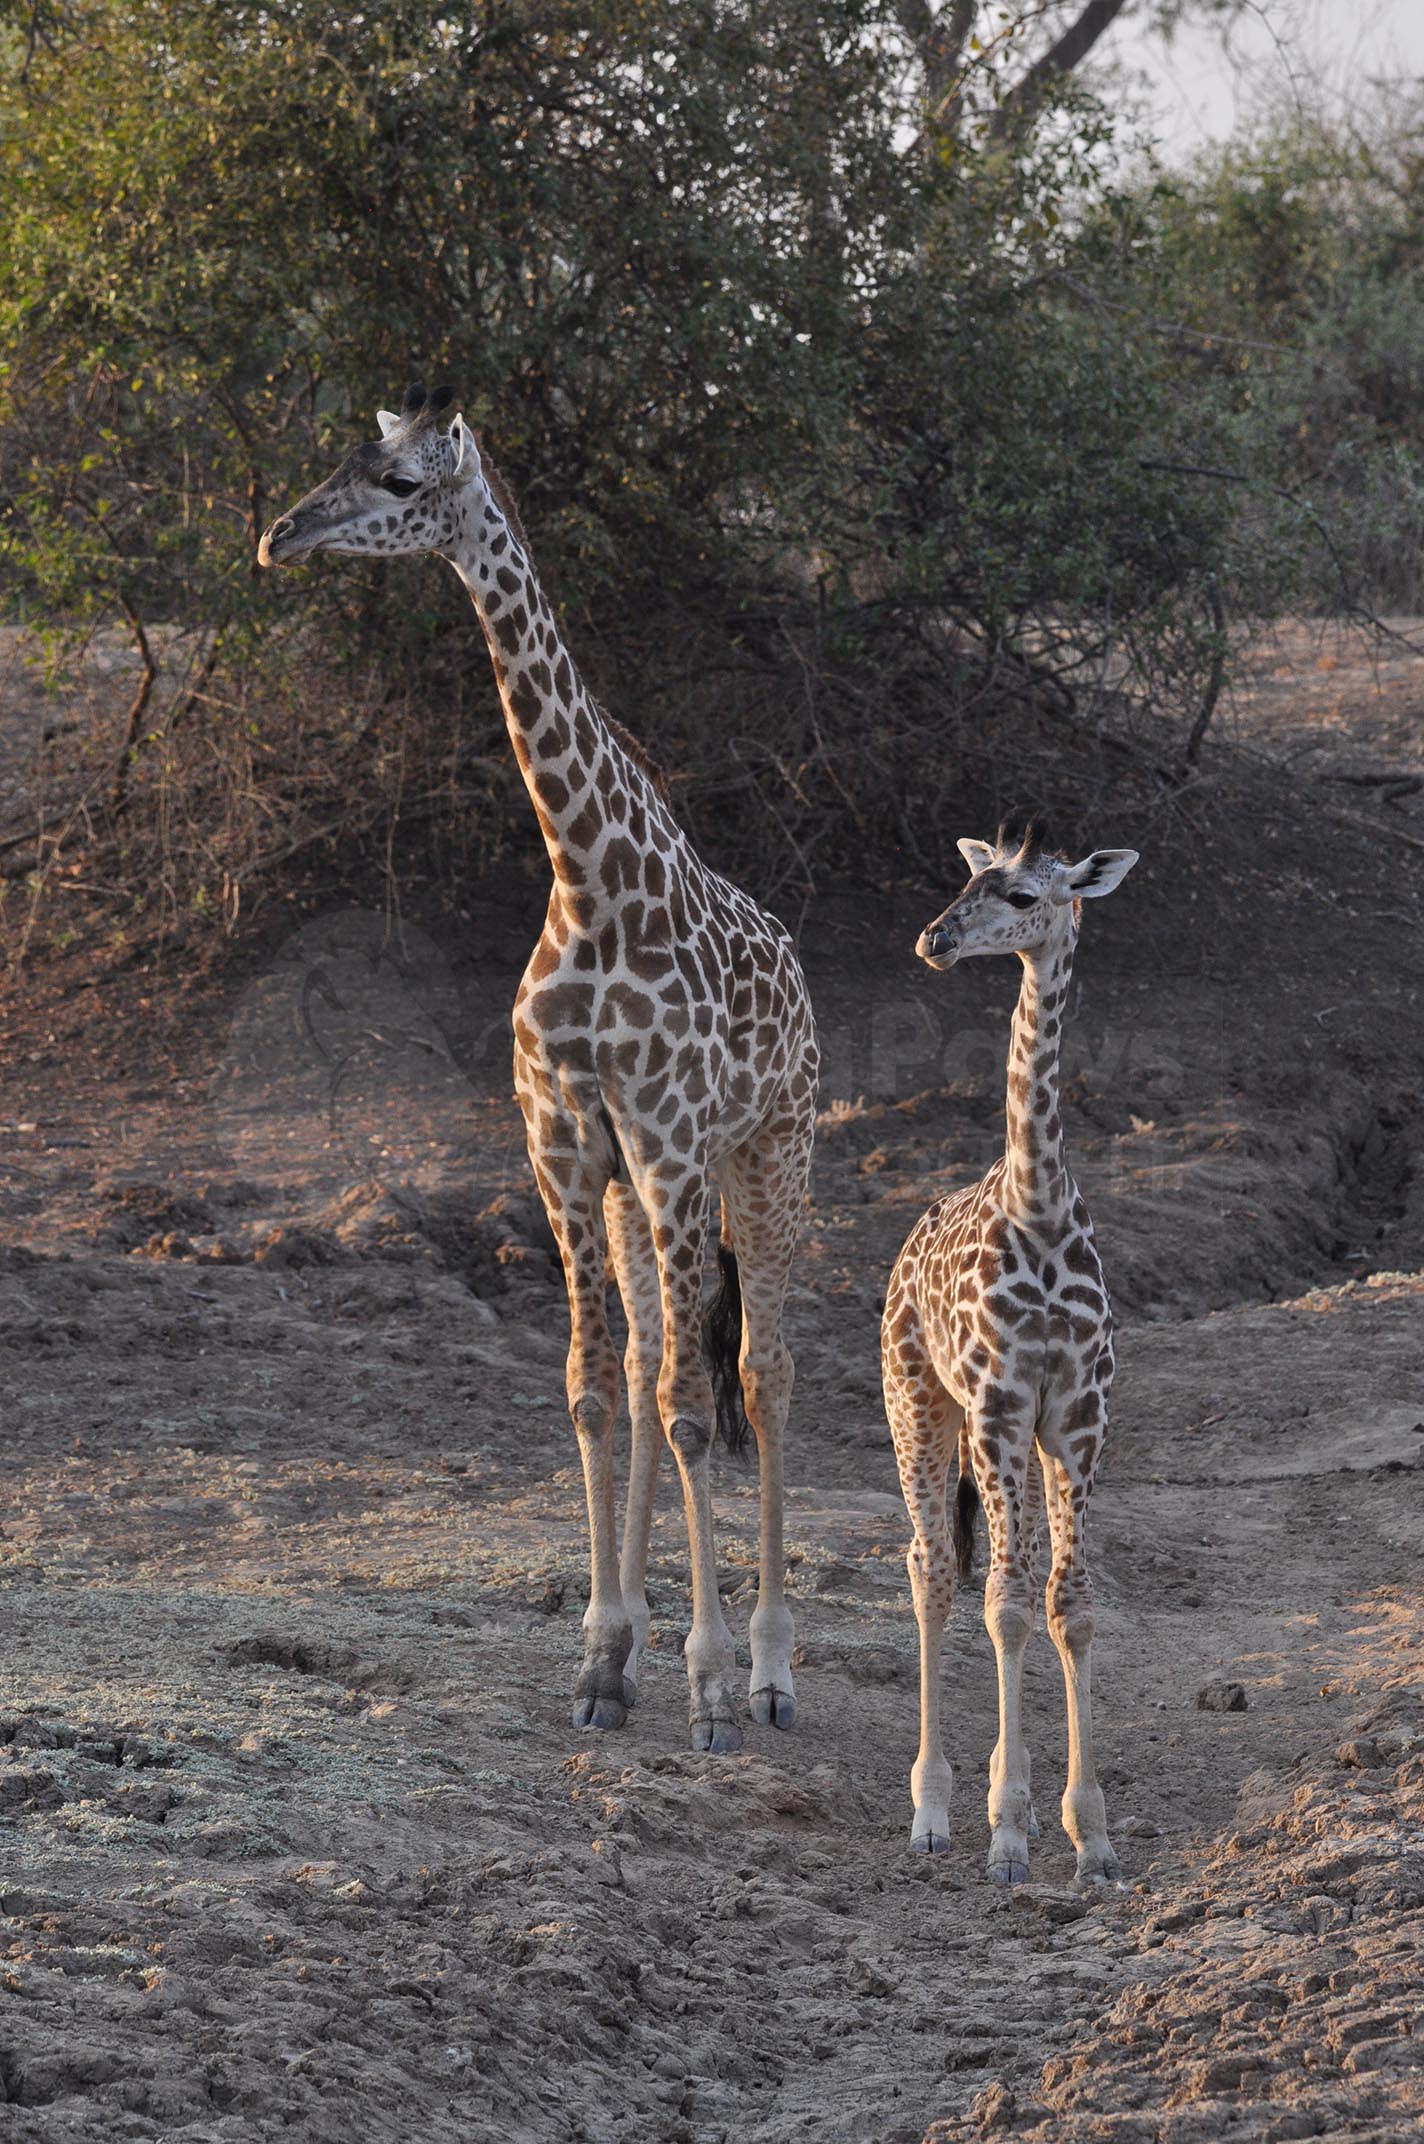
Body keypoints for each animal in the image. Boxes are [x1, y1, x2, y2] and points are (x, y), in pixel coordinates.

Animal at [260, 390, 819, 1758]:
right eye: (347, 456)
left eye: (401, 482)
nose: (278, 536)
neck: (588, 880)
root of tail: (797, 961)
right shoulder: (567, 1151)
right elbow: (594, 1392)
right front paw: (605, 1660)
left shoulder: (672, 1146)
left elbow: (693, 1403)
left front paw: (708, 1685)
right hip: (637, 1196)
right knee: (651, 1357)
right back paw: (646, 1644)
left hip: (768, 1154)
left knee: (762, 1371)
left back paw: (772, 1670)